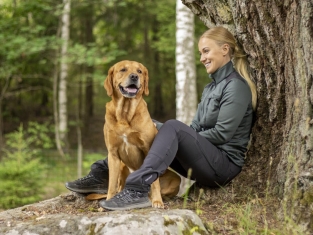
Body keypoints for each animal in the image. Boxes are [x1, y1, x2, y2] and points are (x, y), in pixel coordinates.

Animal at [103, 60, 180, 207]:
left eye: (139, 71)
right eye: (123, 69)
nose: (134, 77)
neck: (125, 113)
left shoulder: (148, 148)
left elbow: (154, 182)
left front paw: (157, 201)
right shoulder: (113, 153)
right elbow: (111, 184)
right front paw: (109, 201)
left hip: (175, 178)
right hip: (122, 166)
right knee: (120, 185)